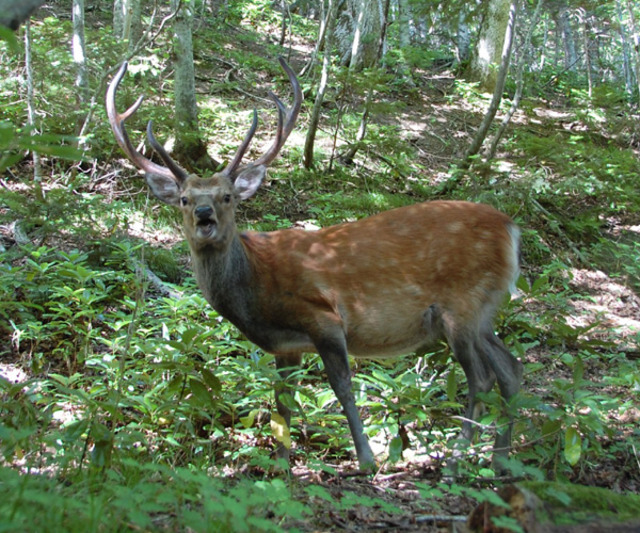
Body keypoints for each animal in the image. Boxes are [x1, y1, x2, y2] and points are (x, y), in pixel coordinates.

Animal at [106, 56, 524, 468]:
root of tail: (510, 228)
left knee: (481, 377)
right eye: (184, 199)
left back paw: (458, 458)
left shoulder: (324, 317)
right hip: (483, 309)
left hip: (461, 304)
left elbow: (342, 388)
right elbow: (282, 403)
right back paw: (501, 459)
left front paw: (366, 459)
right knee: (510, 367)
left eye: (227, 197)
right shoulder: (285, 346)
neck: (257, 287)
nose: (204, 215)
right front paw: (280, 464)